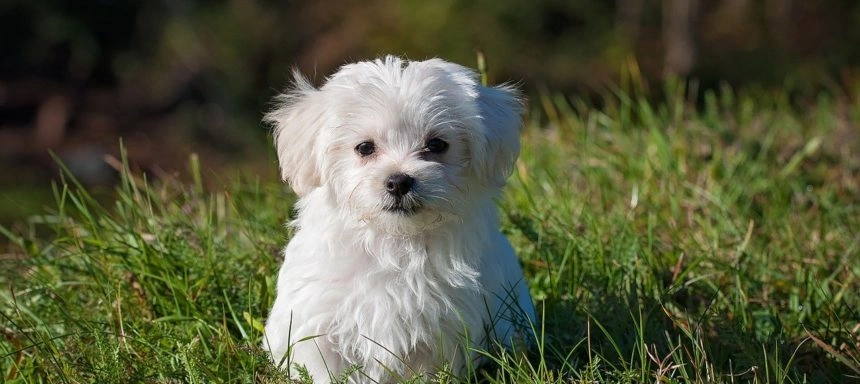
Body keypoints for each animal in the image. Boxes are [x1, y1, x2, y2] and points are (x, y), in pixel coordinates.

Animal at [262, 55, 536, 382]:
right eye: (364, 148)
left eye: (437, 145)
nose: (398, 181)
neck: (394, 241)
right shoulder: (318, 323)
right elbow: (324, 369)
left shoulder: (442, 330)